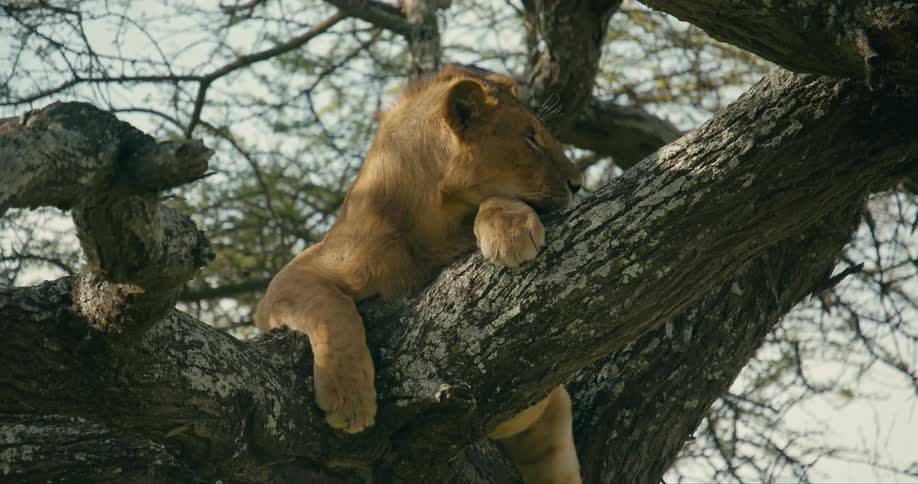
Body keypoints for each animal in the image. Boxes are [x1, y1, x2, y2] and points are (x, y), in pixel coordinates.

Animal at [255, 64, 583, 483]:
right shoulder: (289, 281)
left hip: (554, 422)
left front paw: (510, 230)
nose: (578, 184)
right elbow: (332, 309)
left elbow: (499, 200)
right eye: (530, 138)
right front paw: (349, 397)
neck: (432, 220)